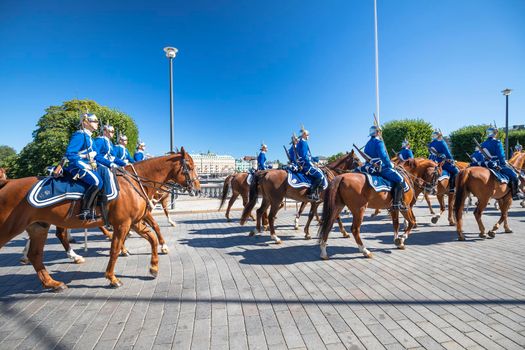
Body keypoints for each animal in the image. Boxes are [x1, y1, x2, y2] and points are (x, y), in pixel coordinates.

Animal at [0, 150, 200, 290]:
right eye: (189, 167)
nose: (198, 189)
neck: (134, 183)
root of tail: (7, 183)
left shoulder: (135, 222)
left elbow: (152, 236)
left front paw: (154, 267)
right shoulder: (123, 224)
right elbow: (115, 248)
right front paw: (112, 277)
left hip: (38, 227)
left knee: (36, 255)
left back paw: (52, 282)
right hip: (11, 228)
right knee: (55, 238)